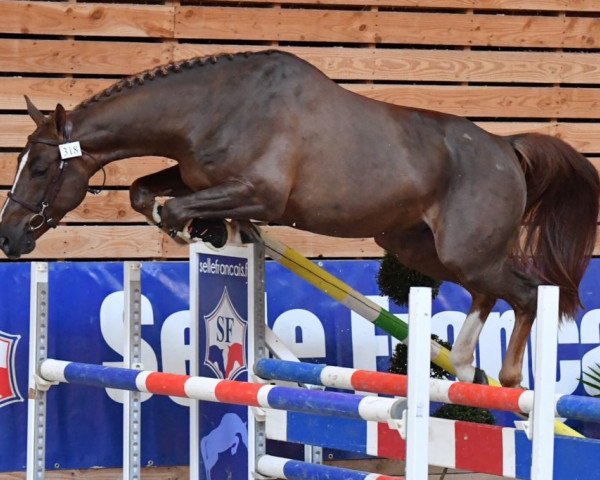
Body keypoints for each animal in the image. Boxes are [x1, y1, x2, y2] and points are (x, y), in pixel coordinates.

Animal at [1, 49, 600, 386]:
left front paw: (199, 229)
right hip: (418, 246)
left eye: (40, 167)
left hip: (465, 250)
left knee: (524, 293)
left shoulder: (260, 195)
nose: (9, 238)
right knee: (486, 292)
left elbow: (173, 206)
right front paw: (213, 231)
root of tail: (507, 147)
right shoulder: (199, 177)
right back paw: (464, 361)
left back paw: (506, 378)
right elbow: (144, 191)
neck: (213, 108)